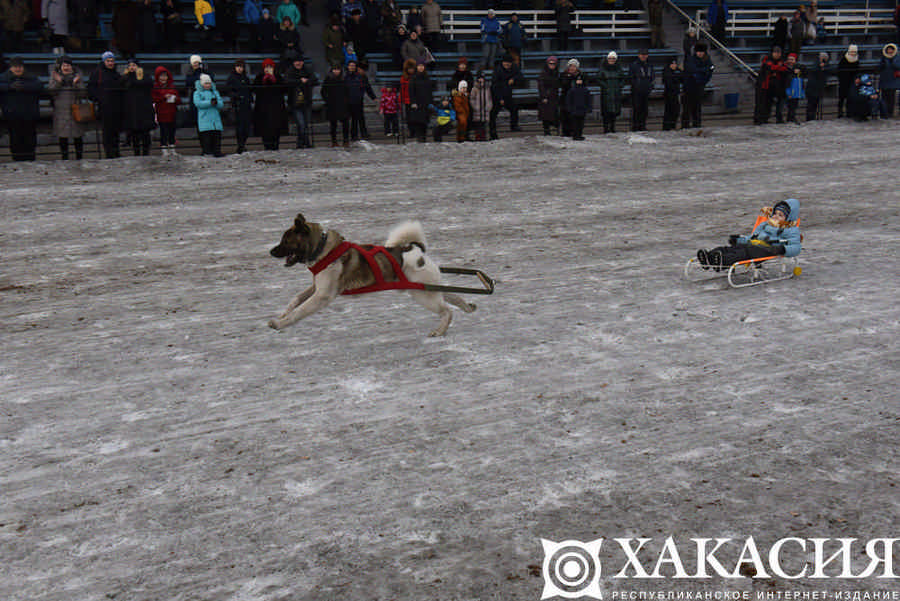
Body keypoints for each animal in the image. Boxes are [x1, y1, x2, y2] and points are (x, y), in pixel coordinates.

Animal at [268, 213, 478, 336]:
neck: (322, 249)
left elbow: (299, 312)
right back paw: (467, 307)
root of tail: (417, 251)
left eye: (286, 241)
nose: (271, 252)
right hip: (427, 289)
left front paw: (281, 323)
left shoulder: (322, 296)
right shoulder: (316, 287)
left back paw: (440, 330)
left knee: (446, 310)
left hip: (422, 294)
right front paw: (282, 315)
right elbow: (296, 299)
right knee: (451, 296)